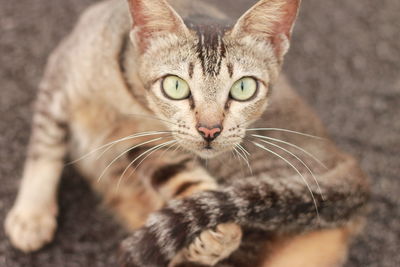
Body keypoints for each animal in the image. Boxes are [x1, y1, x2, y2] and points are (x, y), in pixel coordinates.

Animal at [3, 0, 368, 266]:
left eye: (244, 88)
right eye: (175, 86)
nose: (210, 130)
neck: (130, 98)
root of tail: (352, 169)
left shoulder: (156, 147)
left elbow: (193, 188)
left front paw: (215, 235)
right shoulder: (59, 79)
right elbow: (45, 149)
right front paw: (32, 215)